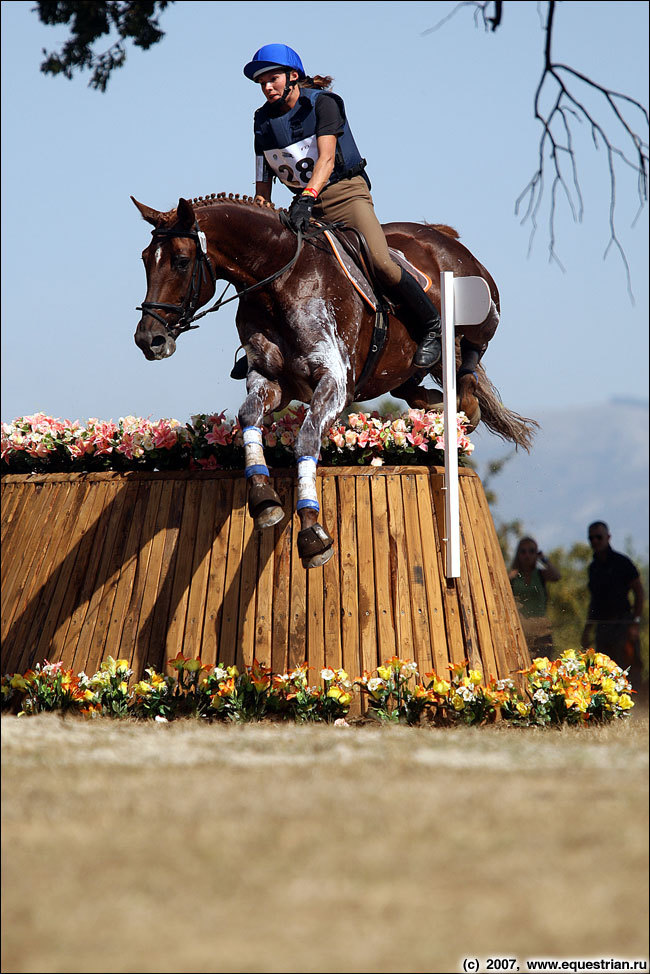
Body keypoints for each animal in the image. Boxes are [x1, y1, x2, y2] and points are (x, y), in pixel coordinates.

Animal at [132, 193, 532, 568]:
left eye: (181, 261)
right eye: (145, 259)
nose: (148, 340)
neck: (279, 281)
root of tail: (439, 234)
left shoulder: (335, 383)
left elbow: (307, 438)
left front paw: (311, 532)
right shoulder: (271, 382)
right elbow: (248, 417)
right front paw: (263, 498)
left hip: (477, 306)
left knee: (474, 349)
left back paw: (461, 396)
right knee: (416, 384)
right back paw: (444, 404)